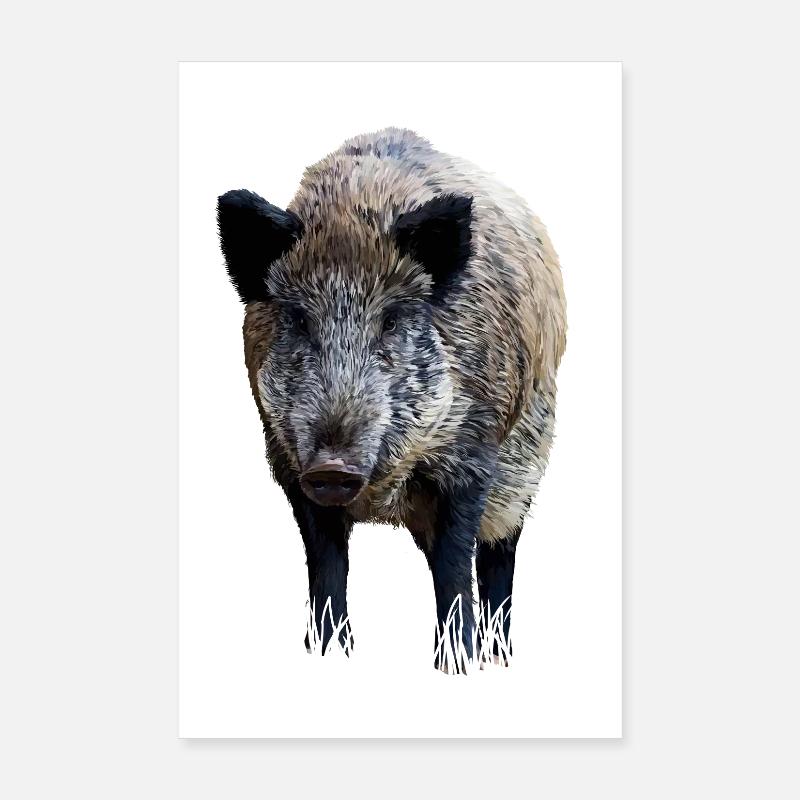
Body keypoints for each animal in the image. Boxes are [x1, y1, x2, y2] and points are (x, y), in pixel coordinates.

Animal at [217, 128, 566, 672]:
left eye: (392, 320)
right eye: (299, 319)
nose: (333, 466)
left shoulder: (473, 458)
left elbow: (454, 568)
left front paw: (457, 666)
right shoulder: (289, 466)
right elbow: (326, 569)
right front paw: (329, 656)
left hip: (528, 461)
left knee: (498, 558)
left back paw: (499, 659)